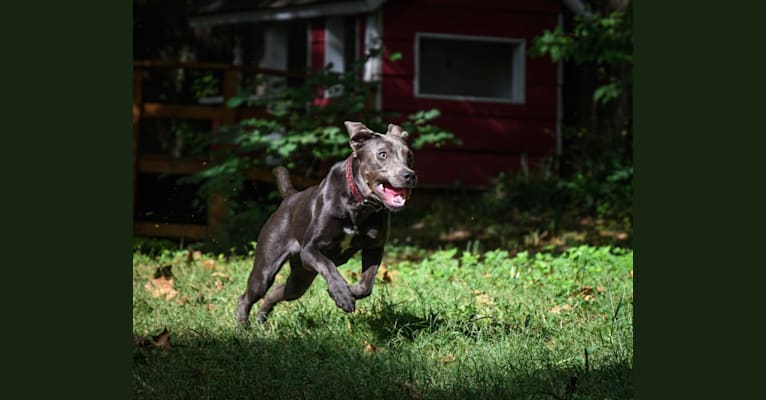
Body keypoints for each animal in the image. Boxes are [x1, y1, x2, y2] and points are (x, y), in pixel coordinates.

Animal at [237, 120, 420, 326]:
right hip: (267, 266)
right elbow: (328, 266)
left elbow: (367, 283)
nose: (409, 175)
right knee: (249, 295)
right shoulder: (310, 249)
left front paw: (351, 291)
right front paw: (341, 294)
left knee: (277, 292)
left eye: (409, 156)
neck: (357, 204)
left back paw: (261, 319)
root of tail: (290, 197)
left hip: (300, 278)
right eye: (382, 154)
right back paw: (242, 326)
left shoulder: (374, 247)